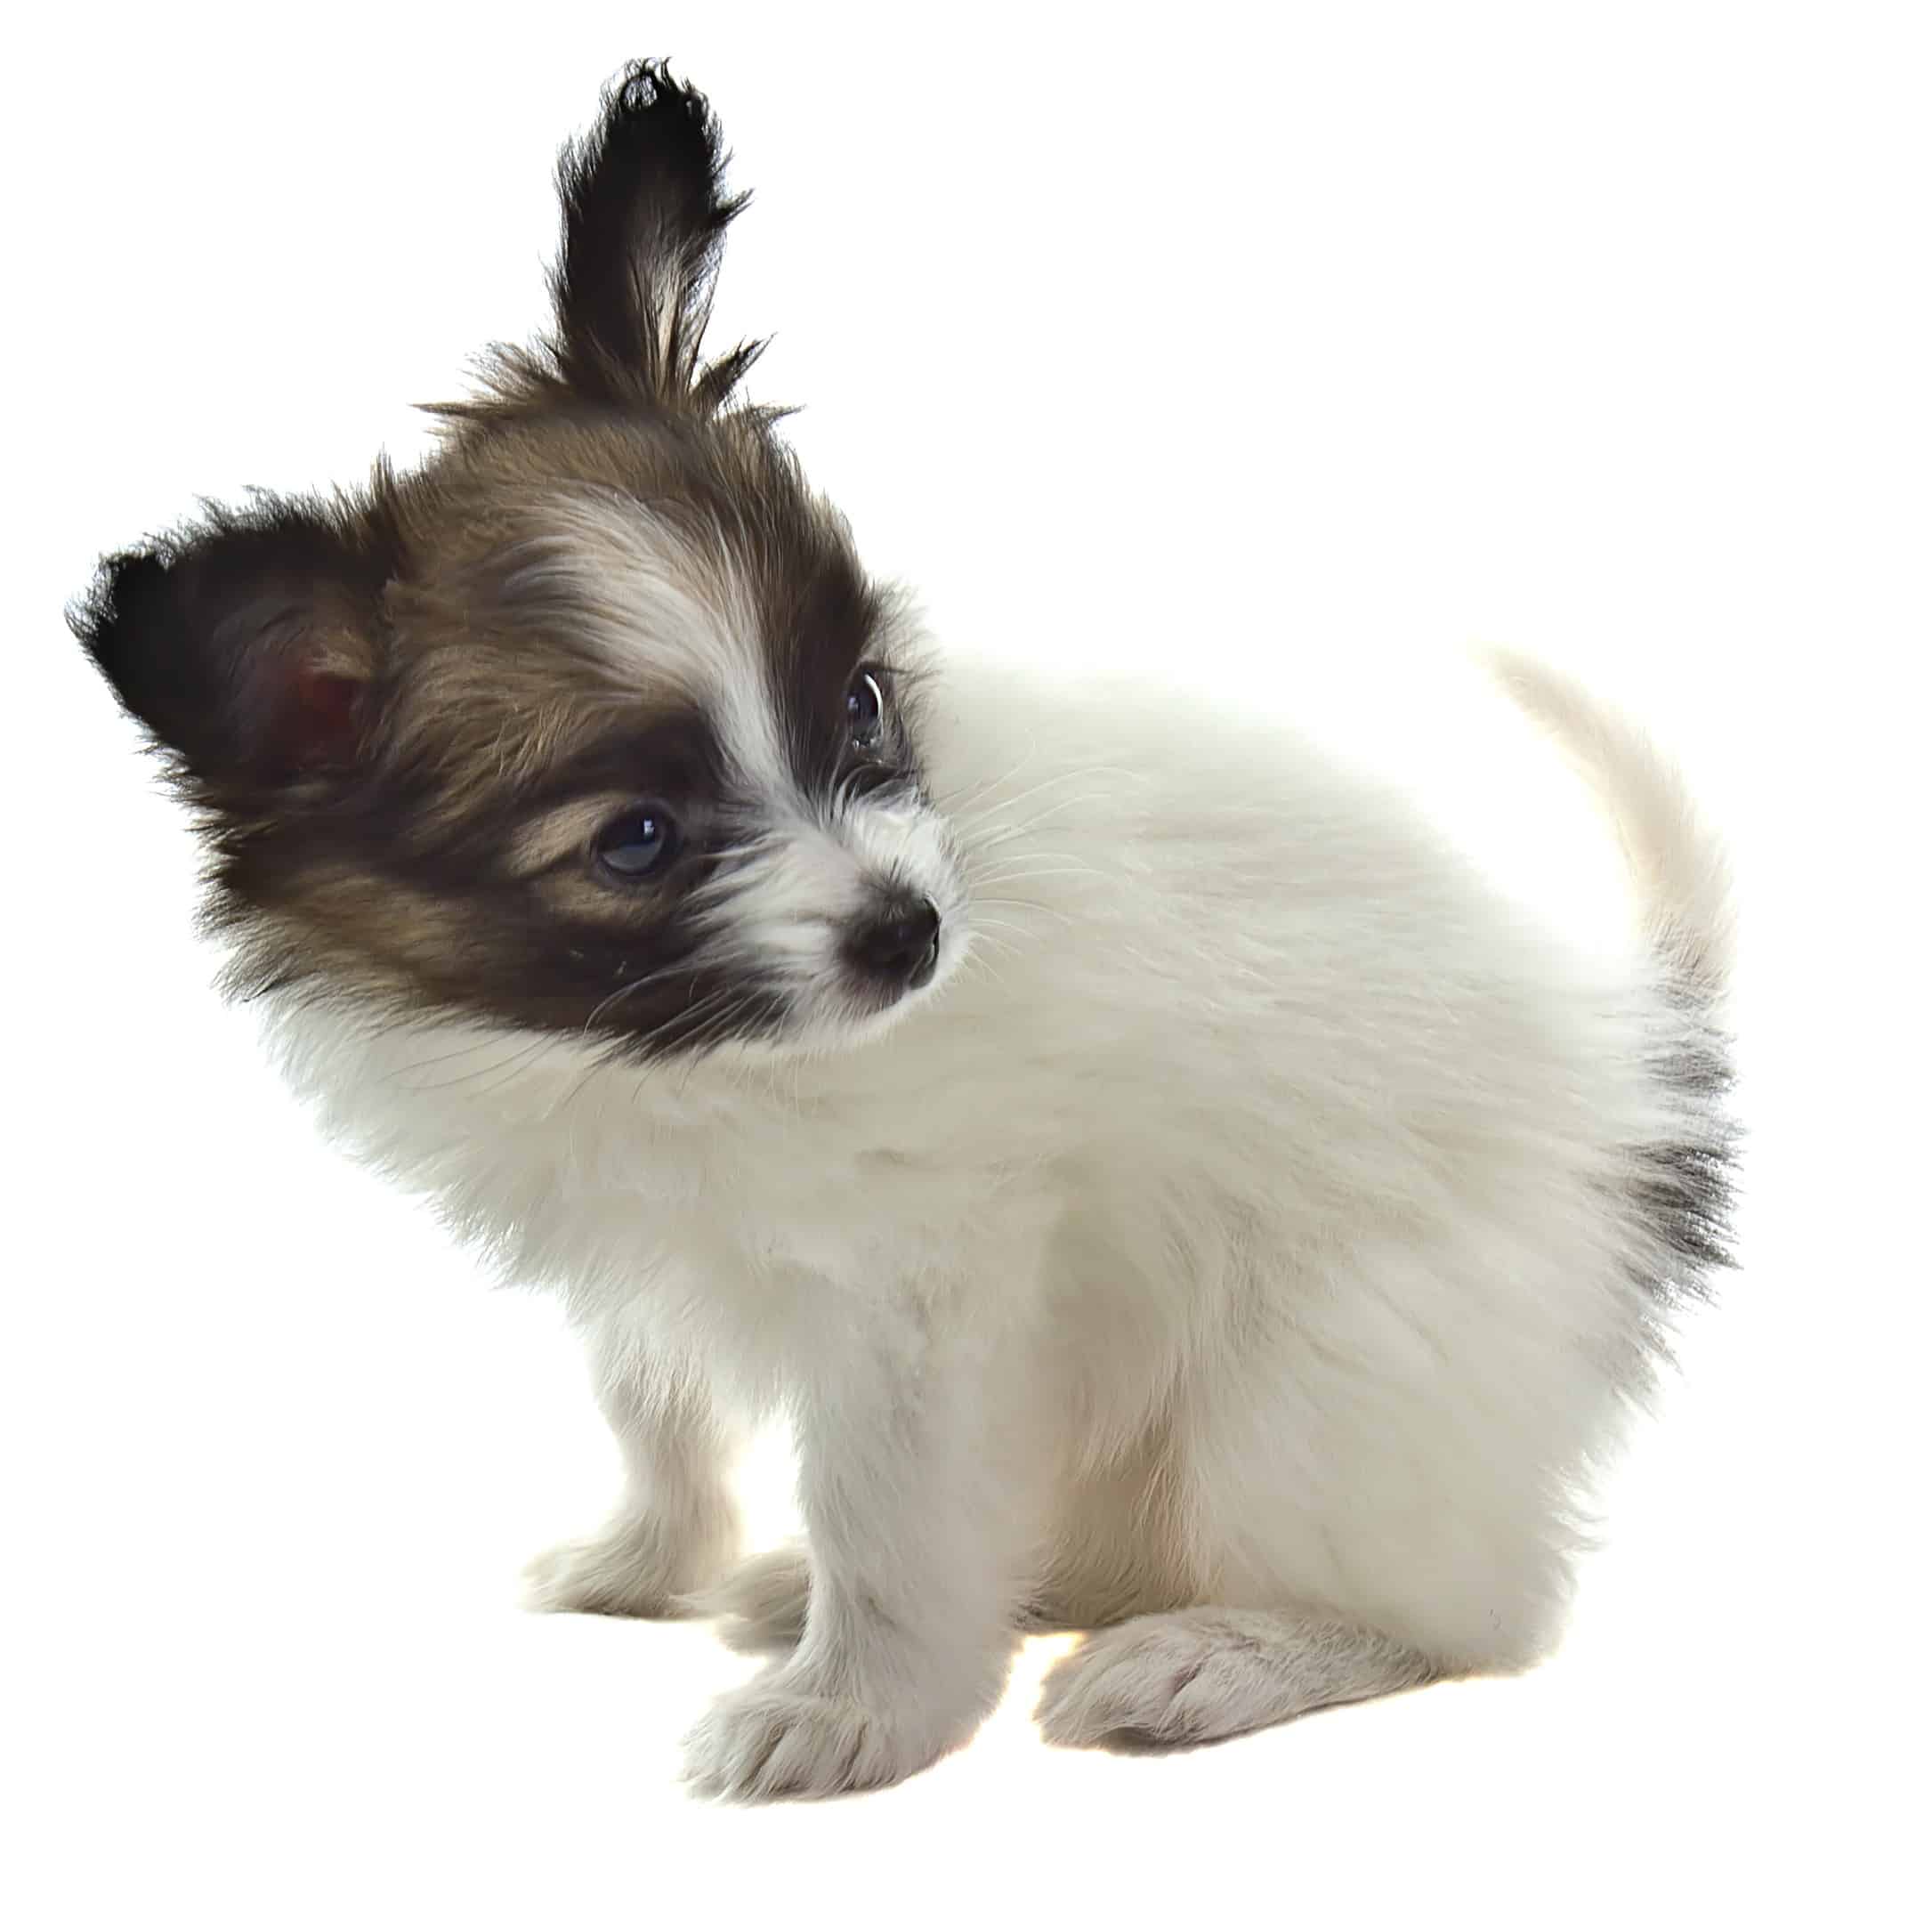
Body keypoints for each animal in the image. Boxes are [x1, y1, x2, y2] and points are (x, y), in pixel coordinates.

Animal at [71, 60, 1738, 1792]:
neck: (667, 1051)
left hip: (1322, 1375)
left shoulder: (924, 1288)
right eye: (637, 840)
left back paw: (1219, 1654)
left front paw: (851, 1711)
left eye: (861, 706)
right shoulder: (636, 1249)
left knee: (1465, 1614)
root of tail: (1639, 1081)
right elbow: (652, 1406)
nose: (912, 932)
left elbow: (883, 1506)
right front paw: (645, 1563)